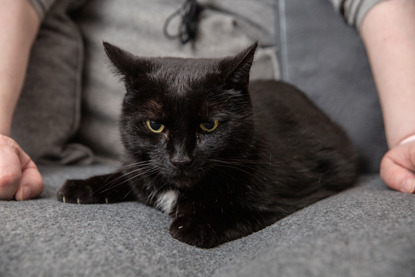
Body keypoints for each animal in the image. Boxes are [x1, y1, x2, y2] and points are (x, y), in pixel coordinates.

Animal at [57, 42, 360, 248]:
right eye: (155, 125)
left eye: (209, 125)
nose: (180, 159)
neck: (178, 190)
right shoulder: (139, 166)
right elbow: (127, 175)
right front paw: (82, 187)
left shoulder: (287, 197)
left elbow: (241, 211)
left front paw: (195, 225)